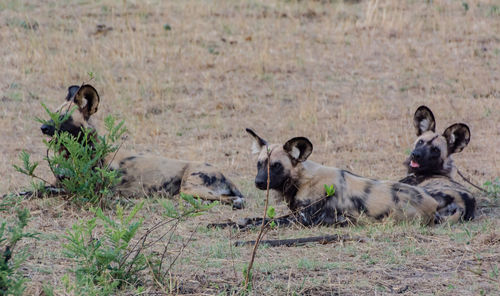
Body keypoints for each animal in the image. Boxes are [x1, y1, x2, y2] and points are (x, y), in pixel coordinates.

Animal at [39, 83, 244, 208]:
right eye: (52, 114)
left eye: (63, 118)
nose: (43, 128)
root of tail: (224, 174)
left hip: (190, 188)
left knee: (236, 200)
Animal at [211, 128, 442, 229]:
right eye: (259, 164)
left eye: (276, 166)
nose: (258, 182)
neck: (301, 180)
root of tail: (433, 203)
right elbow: (253, 219)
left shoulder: (301, 220)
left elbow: (262, 221)